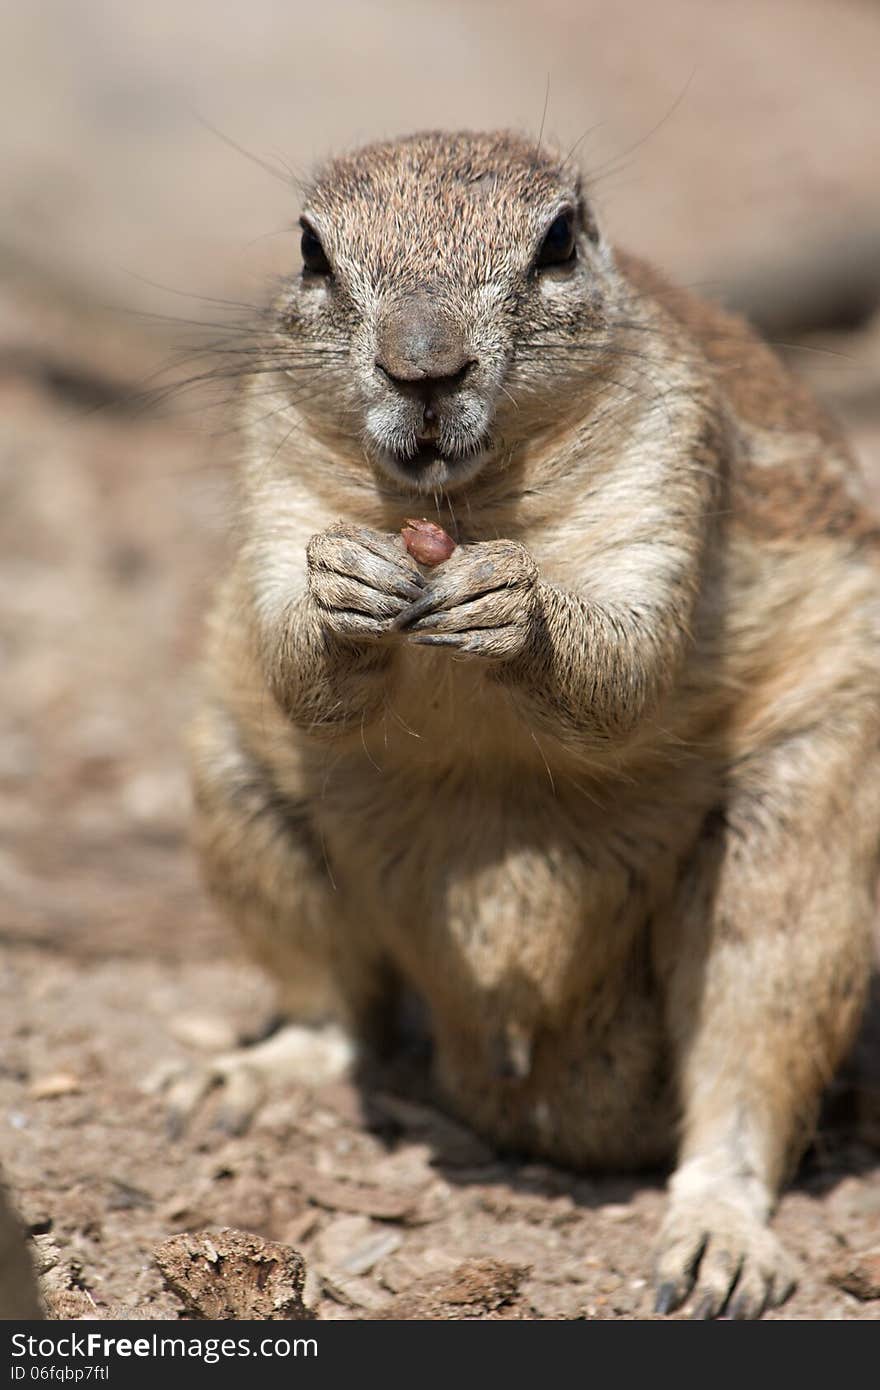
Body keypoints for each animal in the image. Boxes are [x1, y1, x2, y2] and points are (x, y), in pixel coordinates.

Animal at [183, 127, 878, 1312]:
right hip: (239, 785)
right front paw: (342, 590)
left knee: (749, 1063)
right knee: (336, 1014)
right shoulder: (272, 465)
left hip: (805, 844)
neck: (459, 503)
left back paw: (718, 1236)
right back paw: (248, 1075)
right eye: (312, 249)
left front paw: (520, 607)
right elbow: (291, 657)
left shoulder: (674, 459)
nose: (423, 364)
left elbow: (631, 663)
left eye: (557, 242)